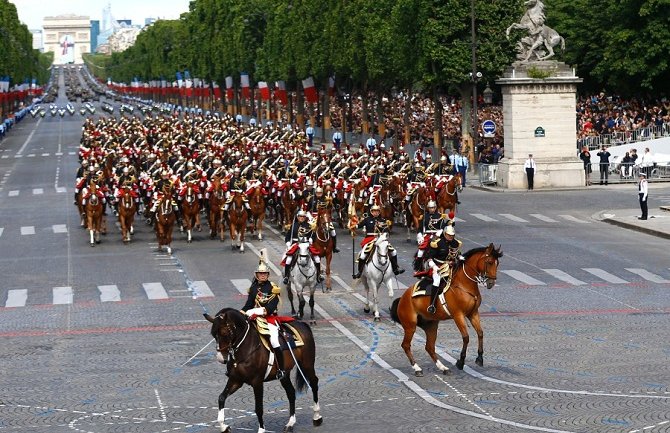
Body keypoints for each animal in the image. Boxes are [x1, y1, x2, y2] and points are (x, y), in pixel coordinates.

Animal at [388, 243, 504, 374]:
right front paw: (461, 361)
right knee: (406, 345)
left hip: (431, 325)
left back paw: (442, 367)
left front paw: (479, 358)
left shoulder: (473, 313)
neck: (464, 285)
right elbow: (466, 337)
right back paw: (417, 368)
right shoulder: (458, 315)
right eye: (489, 262)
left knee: (429, 347)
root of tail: (402, 298)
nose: (491, 283)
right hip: (410, 326)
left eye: (497, 263)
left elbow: (480, 333)